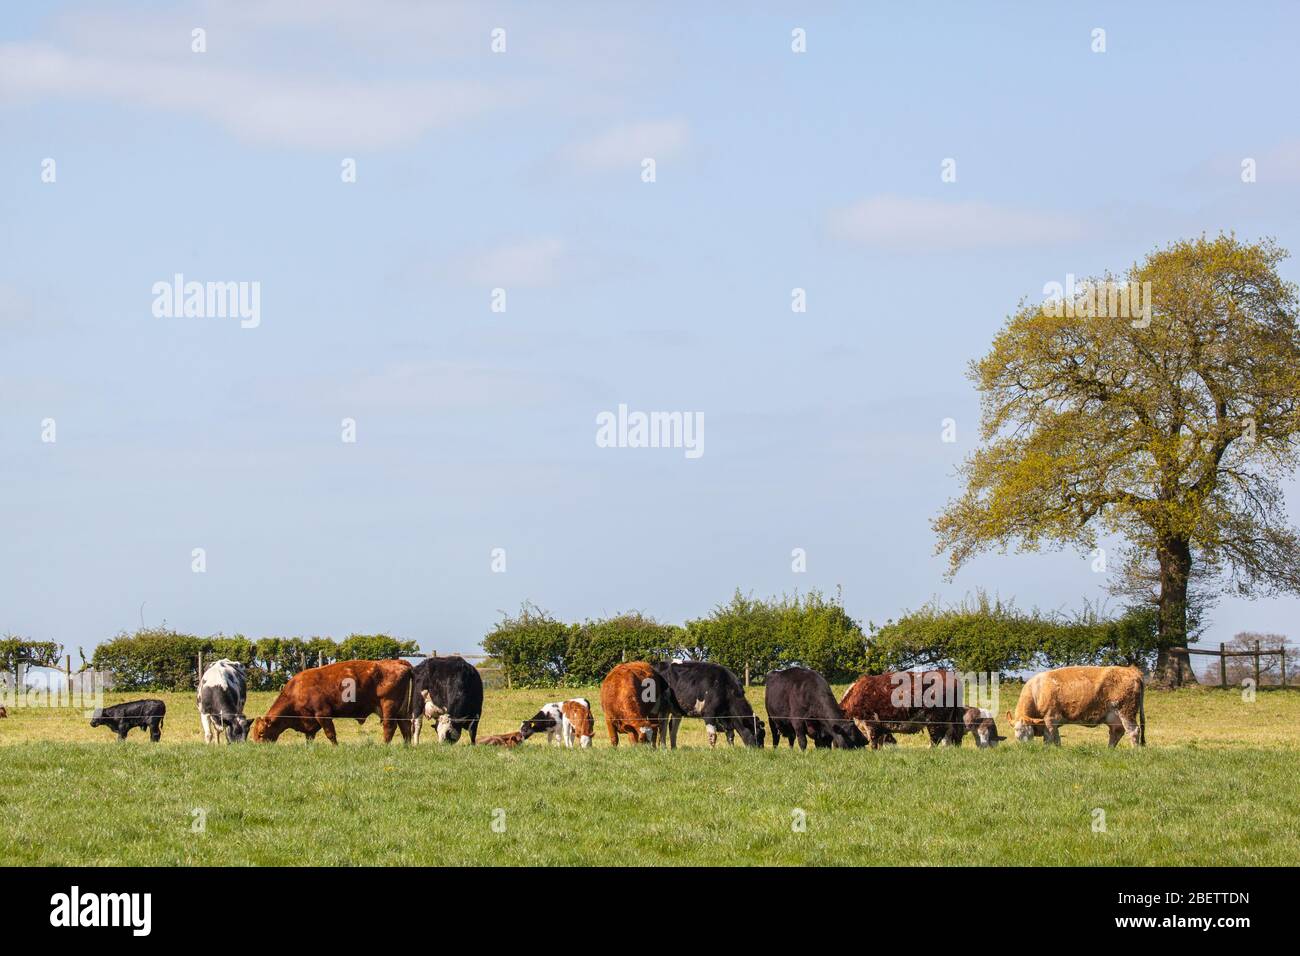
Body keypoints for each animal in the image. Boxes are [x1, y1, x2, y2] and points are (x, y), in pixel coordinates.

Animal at [250, 658, 413, 749]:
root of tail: (398, 662)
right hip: (401, 710)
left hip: (389, 706)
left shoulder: (323, 714)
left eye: (261, 733)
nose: (257, 748)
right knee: (405, 727)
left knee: (389, 726)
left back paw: (385, 745)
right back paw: (407, 746)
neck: (296, 691)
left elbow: (330, 734)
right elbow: (309, 736)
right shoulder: (309, 720)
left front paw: (336, 747)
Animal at [837, 671, 998, 749]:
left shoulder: (871, 724)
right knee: (951, 738)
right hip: (949, 721)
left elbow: (874, 743)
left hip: (935, 720)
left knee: (936, 738)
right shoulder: (881, 727)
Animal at [1008, 665, 1144, 749]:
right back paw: (1109, 750)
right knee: (1116, 732)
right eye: (1016, 732)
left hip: (1126, 711)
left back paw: (1135, 751)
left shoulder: (1050, 719)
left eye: (1027, 731)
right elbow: (1056, 739)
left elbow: (1049, 739)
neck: (1037, 691)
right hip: (1113, 716)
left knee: (1133, 731)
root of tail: (1131, 670)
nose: (1025, 748)